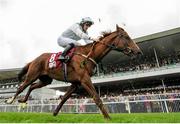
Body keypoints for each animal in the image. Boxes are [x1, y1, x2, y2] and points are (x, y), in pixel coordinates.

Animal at [6, 25, 142, 119]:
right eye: (126, 37)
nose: (139, 52)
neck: (87, 55)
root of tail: (34, 60)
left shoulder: (76, 83)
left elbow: (64, 98)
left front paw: (55, 113)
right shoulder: (85, 80)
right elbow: (97, 98)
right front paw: (108, 118)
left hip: (45, 80)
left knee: (32, 86)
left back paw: (23, 101)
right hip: (32, 75)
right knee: (21, 87)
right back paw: (10, 100)